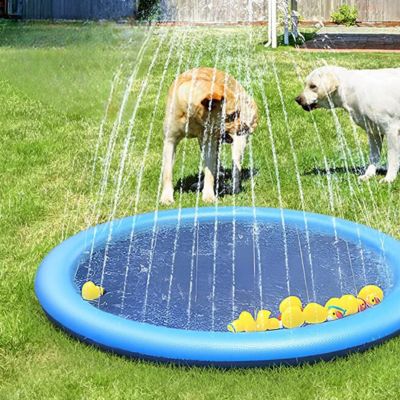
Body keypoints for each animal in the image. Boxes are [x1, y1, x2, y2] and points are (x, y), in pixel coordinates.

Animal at [160, 67, 258, 205]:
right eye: (232, 116)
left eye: (238, 114)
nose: (246, 128)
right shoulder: (170, 140)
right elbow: (167, 172)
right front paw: (166, 197)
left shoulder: (209, 142)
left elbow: (210, 173)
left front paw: (208, 196)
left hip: (238, 143)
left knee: (235, 169)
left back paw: (234, 188)